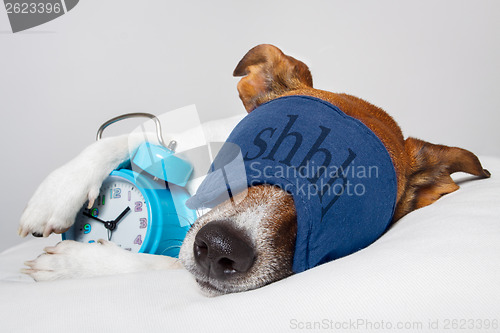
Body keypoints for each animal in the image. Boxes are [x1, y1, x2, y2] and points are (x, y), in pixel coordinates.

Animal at [18, 44, 488, 296]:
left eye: (341, 205)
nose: (220, 245)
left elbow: (160, 265)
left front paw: (79, 264)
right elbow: (133, 137)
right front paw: (55, 195)